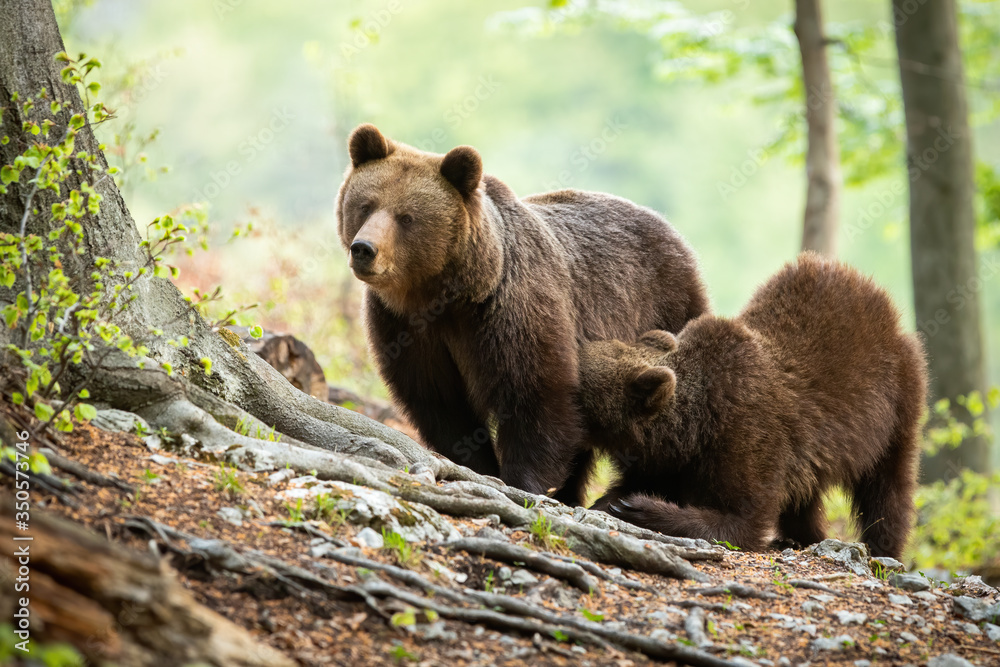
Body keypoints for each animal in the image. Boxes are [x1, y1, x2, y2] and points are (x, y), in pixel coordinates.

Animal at [336, 124, 709, 498]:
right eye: (365, 206)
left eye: (406, 217)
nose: (364, 249)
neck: (441, 296)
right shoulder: (403, 327)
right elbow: (440, 402)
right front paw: (477, 466)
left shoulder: (511, 310)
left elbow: (536, 395)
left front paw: (525, 481)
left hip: (665, 308)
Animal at [576, 253, 926, 558]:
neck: (692, 429)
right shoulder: (665, 460)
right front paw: (609, 500)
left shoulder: (747, 432)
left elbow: (742, 519)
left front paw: (637, 507)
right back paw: (806, 535)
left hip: (895, 401)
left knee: (888, 486)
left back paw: (883, 548)